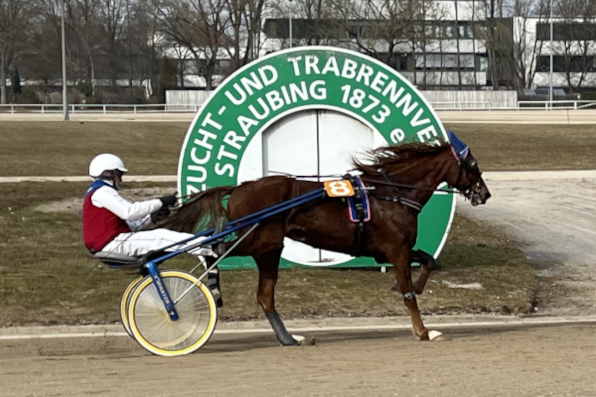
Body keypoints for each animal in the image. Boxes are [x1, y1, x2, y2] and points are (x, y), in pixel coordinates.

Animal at [162, 131, 488, 344]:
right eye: (472, 164)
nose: (485, 194)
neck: (392, 192)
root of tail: (240, 188)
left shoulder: (396, 248)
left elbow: (429, 262)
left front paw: (414, 290)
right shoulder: (396, 249)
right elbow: (409, 294)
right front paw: (423, 331)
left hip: (268, 248)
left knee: (265, 296)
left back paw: (290, 338)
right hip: (259, 240)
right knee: (215, 248)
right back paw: (213, 284)